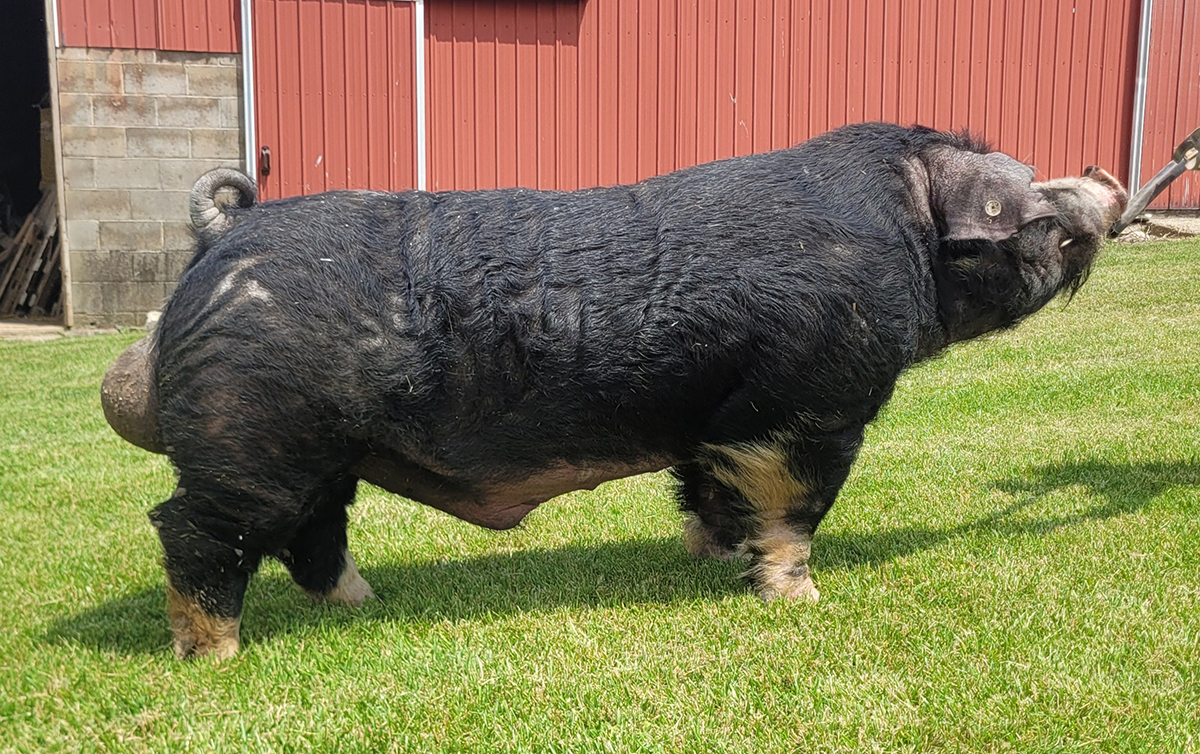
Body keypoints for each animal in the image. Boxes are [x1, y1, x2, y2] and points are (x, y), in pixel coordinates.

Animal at [101, 122, 1127, 659]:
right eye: (1037, 210)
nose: (1107, 181)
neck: (905, 240)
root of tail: (221, 239)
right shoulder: (811, 407)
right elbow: (795, 509)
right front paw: (799, 603)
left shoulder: (720, 421)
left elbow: (710, 491)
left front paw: (714, 560)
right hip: (248, 437)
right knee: (194, 529)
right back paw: (213, 653)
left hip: (319, 454)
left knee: (313, 534)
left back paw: (365, 603)